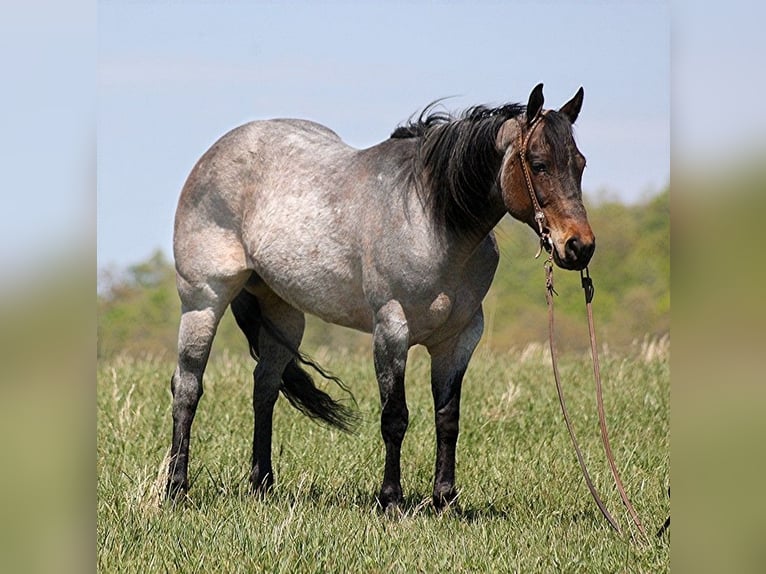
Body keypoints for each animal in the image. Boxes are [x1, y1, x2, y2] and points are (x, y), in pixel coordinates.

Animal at [168, 83, 596, 510]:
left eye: (580, 163)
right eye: (539, 165)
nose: (579, 247)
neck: (431, 221)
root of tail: (216, 154)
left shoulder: (458, 339)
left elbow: (448, 417)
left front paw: (446, 500)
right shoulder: (391, 330)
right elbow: (395, 417)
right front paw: (390, 499)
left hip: (283, 314)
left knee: (265, 388)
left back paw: (262, 486)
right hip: (202, 302)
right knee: (187, 387)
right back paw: (175, 489)